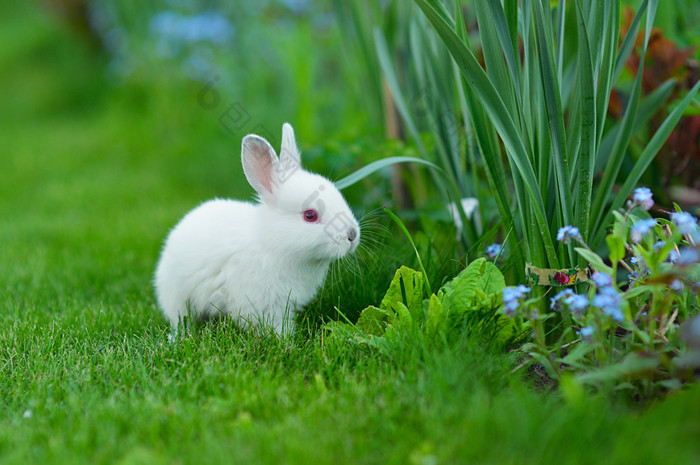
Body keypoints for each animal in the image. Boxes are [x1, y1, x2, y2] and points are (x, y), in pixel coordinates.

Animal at [154, 123, 360, 334]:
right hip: (177, 297)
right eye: (310, 215)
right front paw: (284, 339)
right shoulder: (264, 304)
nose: (352, 235)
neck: (272, 244)